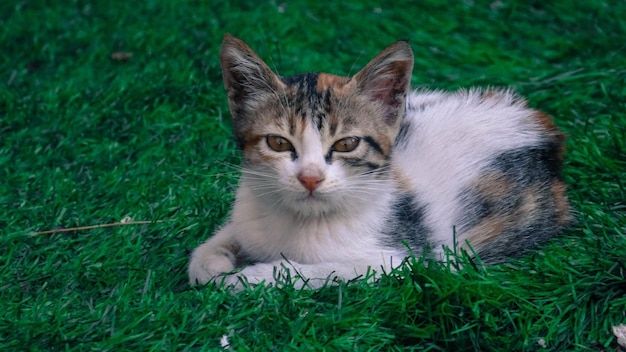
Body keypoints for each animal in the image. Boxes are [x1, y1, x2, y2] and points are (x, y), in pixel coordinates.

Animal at [186, 33, 572, 288]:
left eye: (347, 144)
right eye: (278, 142)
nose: (310, 177)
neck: (301, 221)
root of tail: (538, 121)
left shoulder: (403, 260)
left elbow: (325, 269)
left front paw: (249, 277)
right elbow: (221, 240)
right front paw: (211, 264)